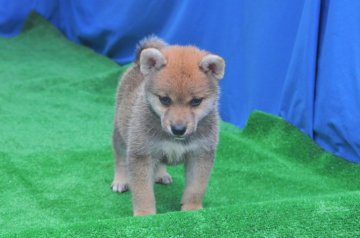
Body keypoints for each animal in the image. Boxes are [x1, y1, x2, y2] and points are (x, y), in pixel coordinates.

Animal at [112, 36, 225, 217]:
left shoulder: (200, 155)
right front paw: (145, 214)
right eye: (164, 99)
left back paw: (161, 174)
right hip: (120, 134)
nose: (178, 129)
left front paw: (192, 208)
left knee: (160, 161)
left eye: (196, 101)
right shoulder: (141, 154)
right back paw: (120, 180)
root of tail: (137, 64)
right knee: (120, 159)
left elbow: (195, 188)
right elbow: (143, 191)